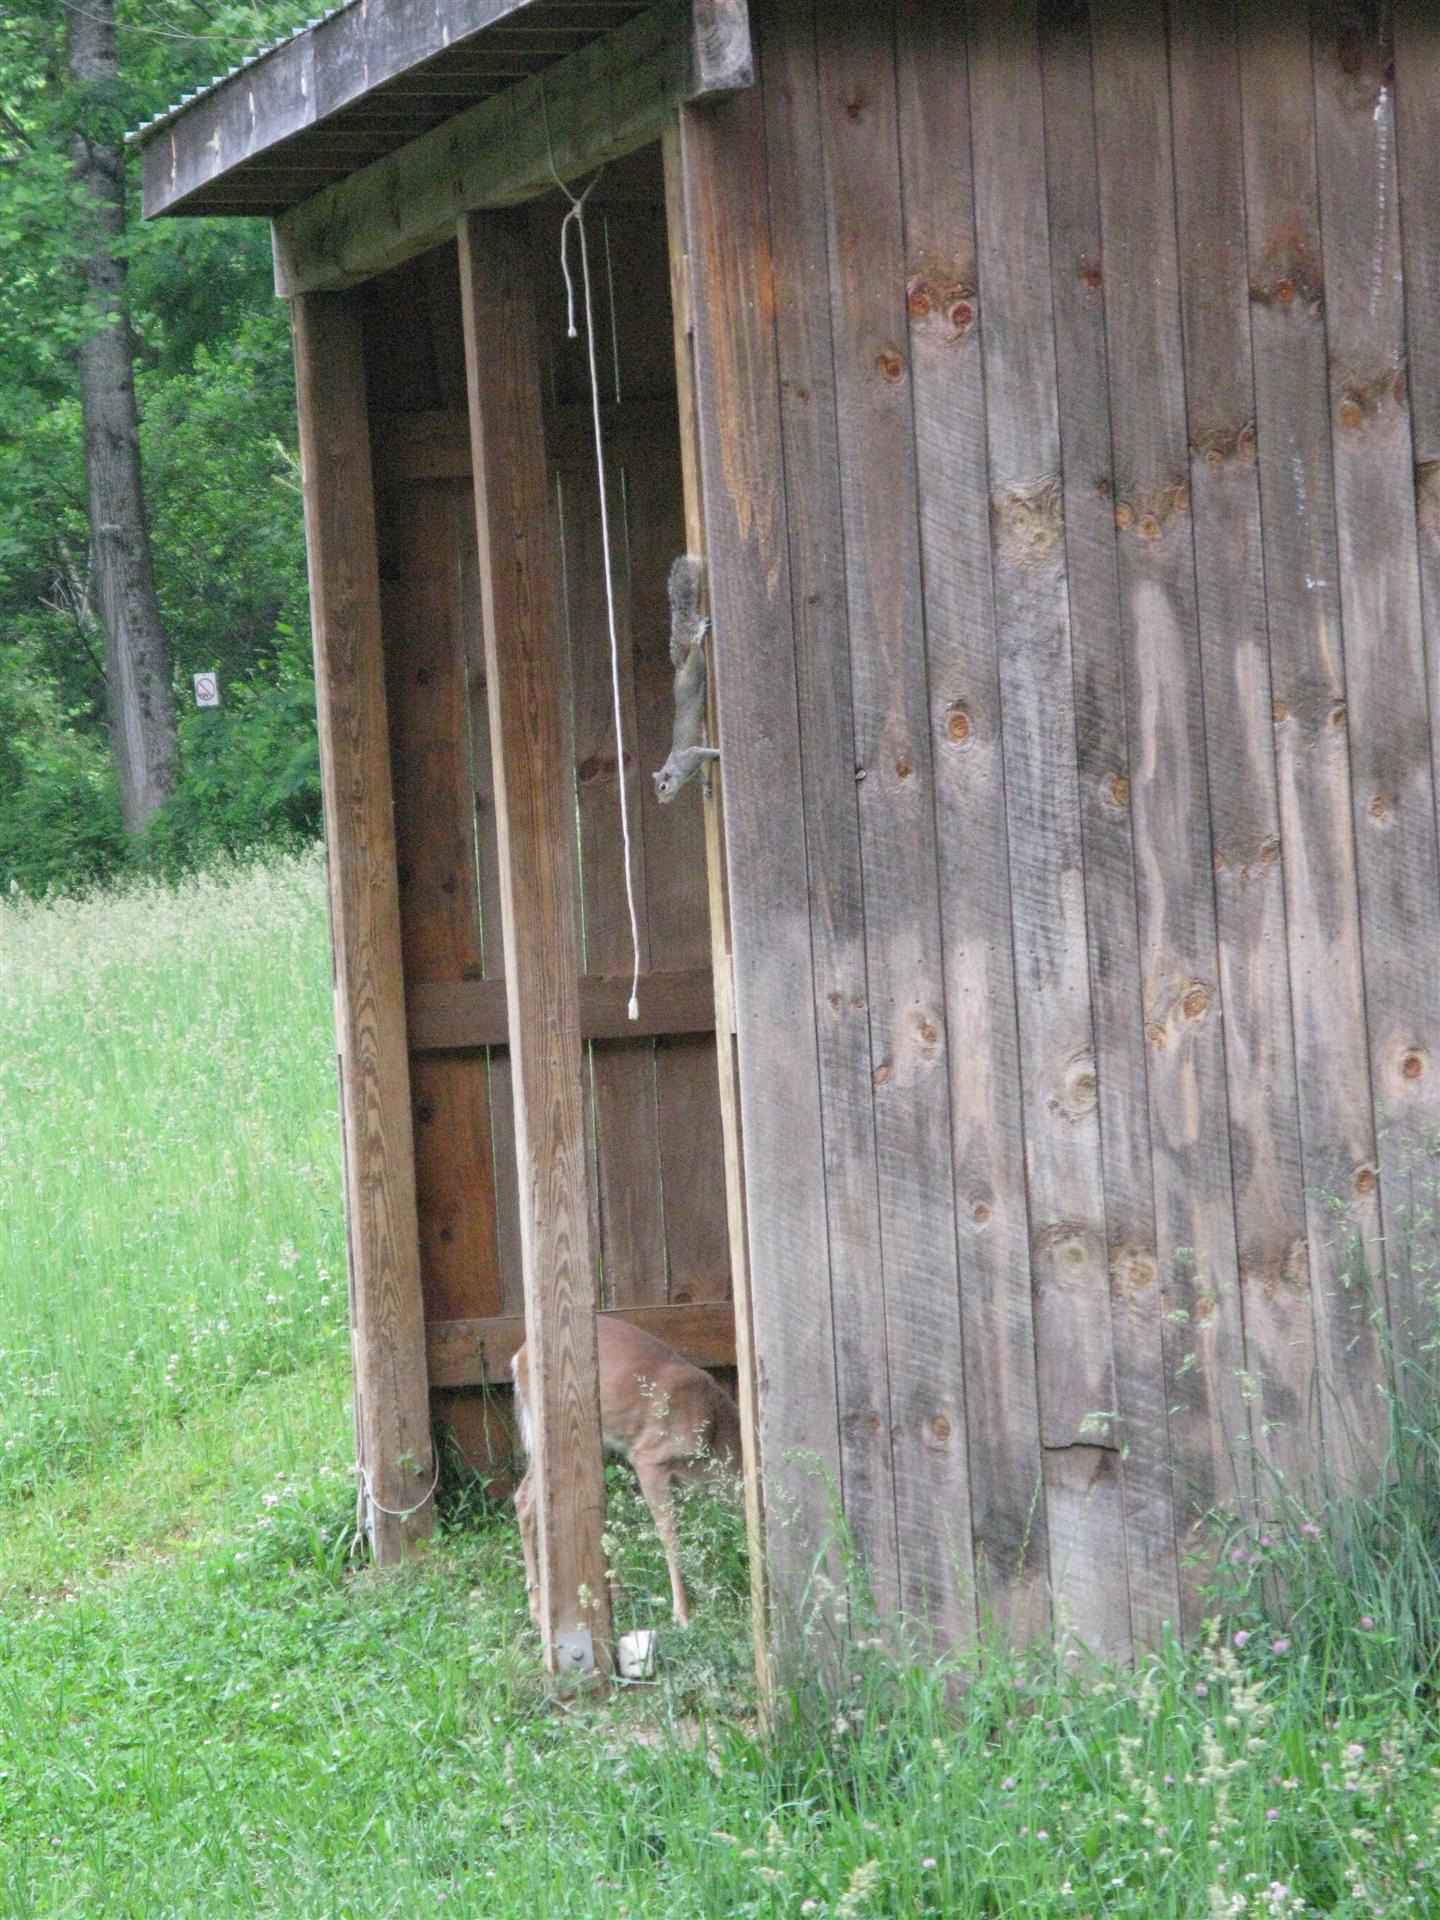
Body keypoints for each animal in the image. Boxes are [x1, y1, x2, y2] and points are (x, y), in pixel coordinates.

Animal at [511, 1316, 742, 1629]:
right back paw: (538, 1609)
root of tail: (519, 1357)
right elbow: (670, 1534)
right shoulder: (649, 1458)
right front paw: (682, 1613)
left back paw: (613, 1590)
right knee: (525, 1499)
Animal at [652, 554, 720, 805]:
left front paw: (719, 752)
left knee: (695, 651)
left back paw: (698, 636)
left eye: (663, 787)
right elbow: (701, 776)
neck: (678, 770)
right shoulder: (693, 769)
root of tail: (680, 669)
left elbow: (703, 753)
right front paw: (707, 787)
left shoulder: (691, 756)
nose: (661, 802)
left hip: (695, 670)